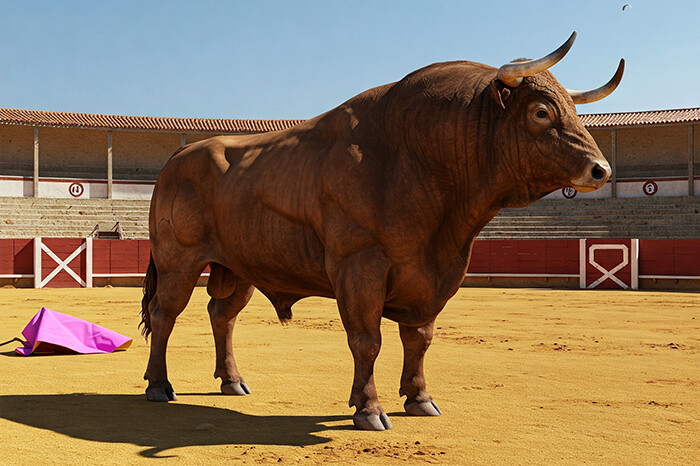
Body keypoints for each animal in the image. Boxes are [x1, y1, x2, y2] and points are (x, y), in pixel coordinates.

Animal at [139, 31, 620, 430]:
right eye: (541, 111)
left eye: (573, 110)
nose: (601, 170)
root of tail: (177, 159)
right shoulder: (360, 267)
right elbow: (367, 340)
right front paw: (369, 409)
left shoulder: (432, 276)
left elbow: (420, 338)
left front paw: (420, 399)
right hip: (179, 260)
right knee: (165, 314)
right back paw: (158, 386)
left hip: (239, 267)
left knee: (222, 314)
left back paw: (232, 381)